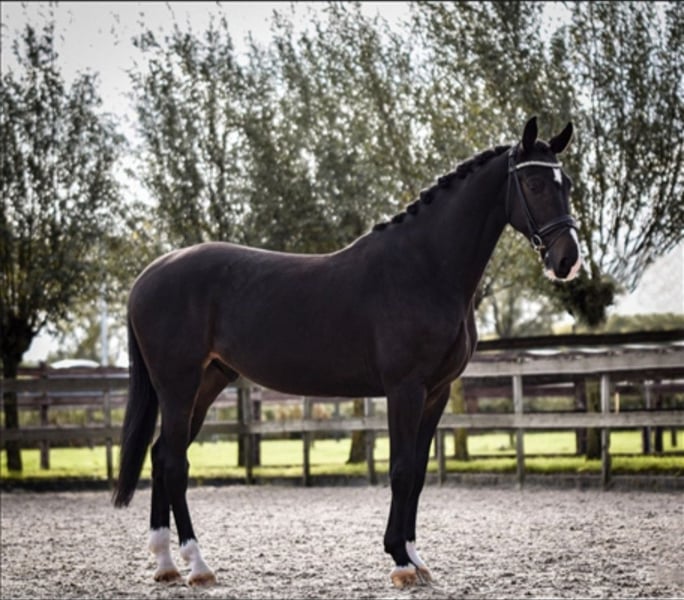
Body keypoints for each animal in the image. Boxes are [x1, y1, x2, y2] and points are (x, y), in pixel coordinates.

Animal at [113, 116, 582, 588]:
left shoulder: (437, 392)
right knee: (175, 463)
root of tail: (148, 275)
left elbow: (418, 473)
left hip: (207, 382)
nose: (567, 260)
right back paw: (197, 564)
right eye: (535, 184)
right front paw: (399, 561)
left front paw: (416, 558)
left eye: (567, 184)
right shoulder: (405, 389)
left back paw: (166, 563)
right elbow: (400, 470)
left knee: (161, 454)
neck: (425, 268)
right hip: (179, 385)